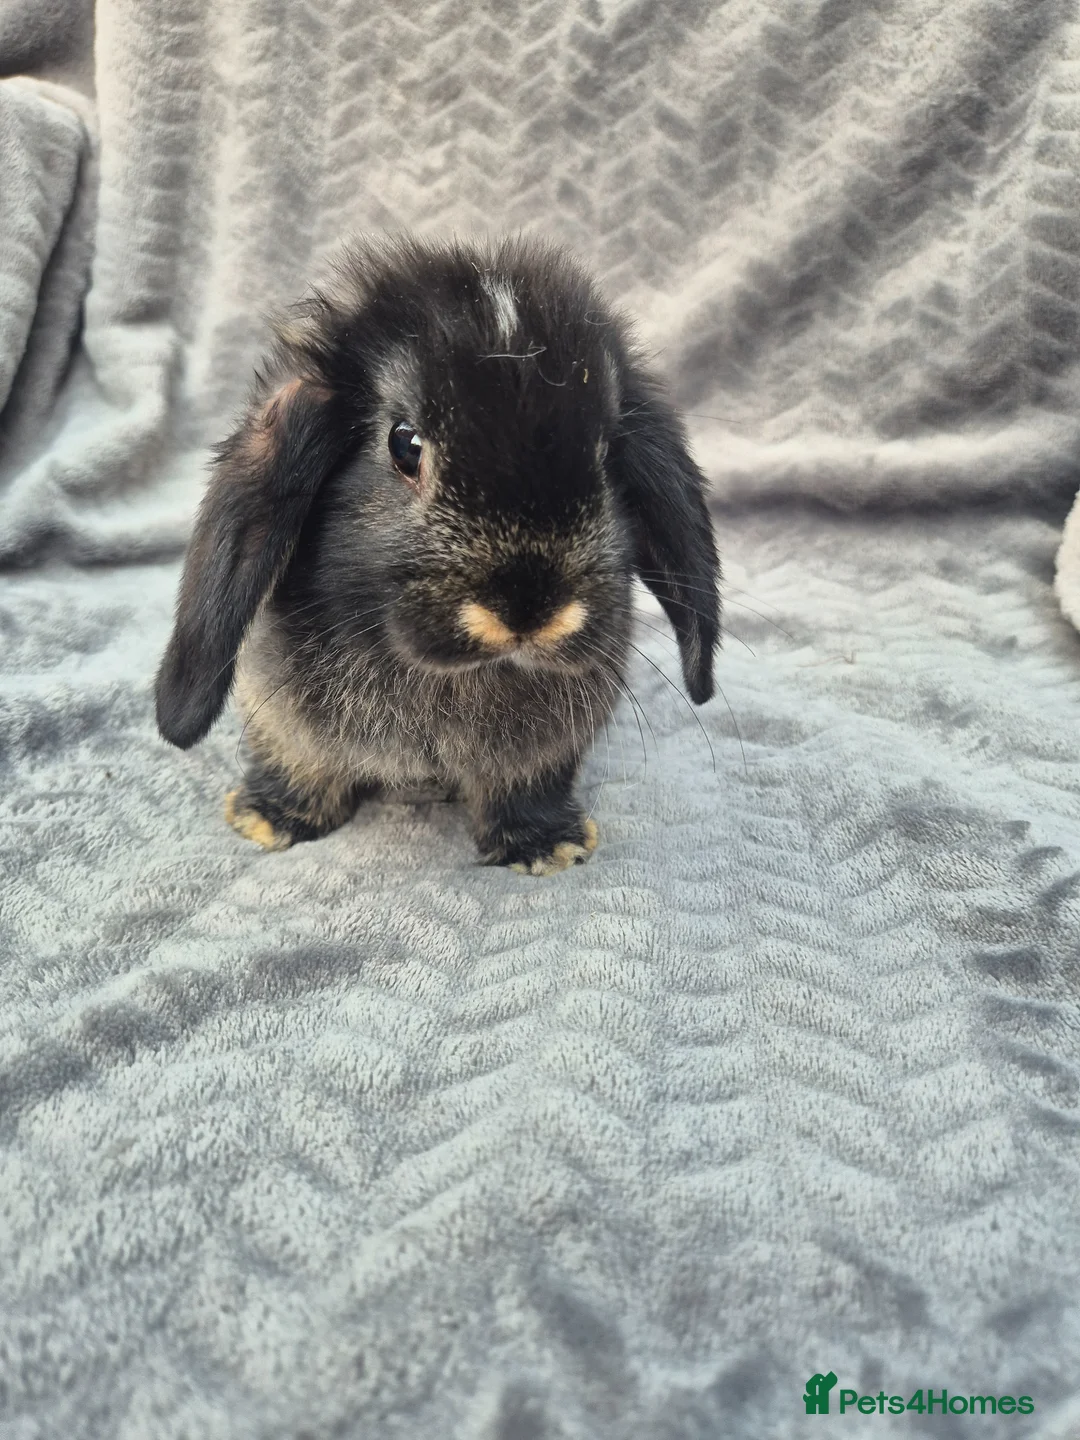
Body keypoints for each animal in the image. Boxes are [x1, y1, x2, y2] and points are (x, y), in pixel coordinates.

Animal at [154, 233, 721, 875]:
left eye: (605, 455)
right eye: (405, 444)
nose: (529, 609)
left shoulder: (545, 752)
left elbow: (528, 785)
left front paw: (547, 846)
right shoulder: (281, 714)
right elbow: (298, 761)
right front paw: (269, 819)